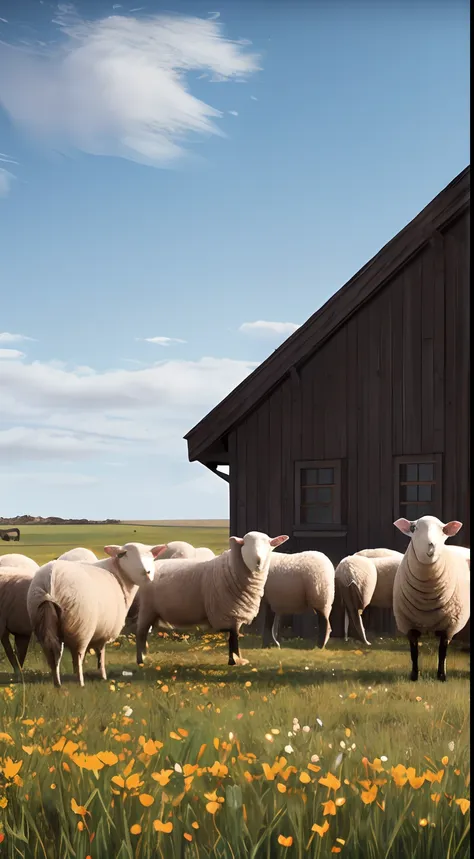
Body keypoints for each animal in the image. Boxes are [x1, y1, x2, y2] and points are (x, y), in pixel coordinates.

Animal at [27, 540, 167, 688]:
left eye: (151, 555)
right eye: (123, 554)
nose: (147, 572)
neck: (118, 575)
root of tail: (51, 579)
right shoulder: (104, 630)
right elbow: (101, 653)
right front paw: (103, 675)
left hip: (42, 620)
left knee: (52, 653)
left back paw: (57, 683)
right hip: (81, 626)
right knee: (77, 655)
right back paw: (80, 682)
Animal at [135, 528, 286, 668]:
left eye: (268, 545)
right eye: (245, 544)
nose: (258, 561)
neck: (232, 570)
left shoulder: (235, 613)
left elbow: (234, 637)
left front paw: (236, 659)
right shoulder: (230, 612)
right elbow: (233, 637)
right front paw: (234, 661)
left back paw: (145, 656)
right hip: (146, 608)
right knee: (140, 633)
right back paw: (141, 660)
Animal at [392, 512, 470, 680]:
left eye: (443, 530)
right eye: (413, 528)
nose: (431, 546)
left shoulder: (450, 625)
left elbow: (442, 652)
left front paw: (441, 676)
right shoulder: (408, 624)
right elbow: (414, 652)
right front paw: (414, 676)